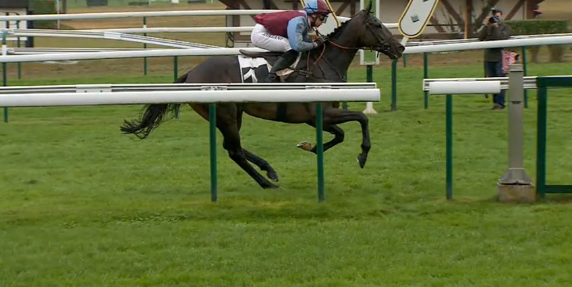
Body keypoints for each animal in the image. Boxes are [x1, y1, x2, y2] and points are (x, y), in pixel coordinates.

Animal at [122, 2, 404, 191]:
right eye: (376, 25)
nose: (400, 47)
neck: (324, 63)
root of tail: (192, 73)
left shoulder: (317, 118)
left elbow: (341, 134)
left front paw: (310, 147)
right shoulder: (320, 112)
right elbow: (361, 119)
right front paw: (362, 155)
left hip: (232, 113)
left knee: (232, 147)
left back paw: (269, 171)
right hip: (225, 114)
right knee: (234, 151)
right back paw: (268, 182)